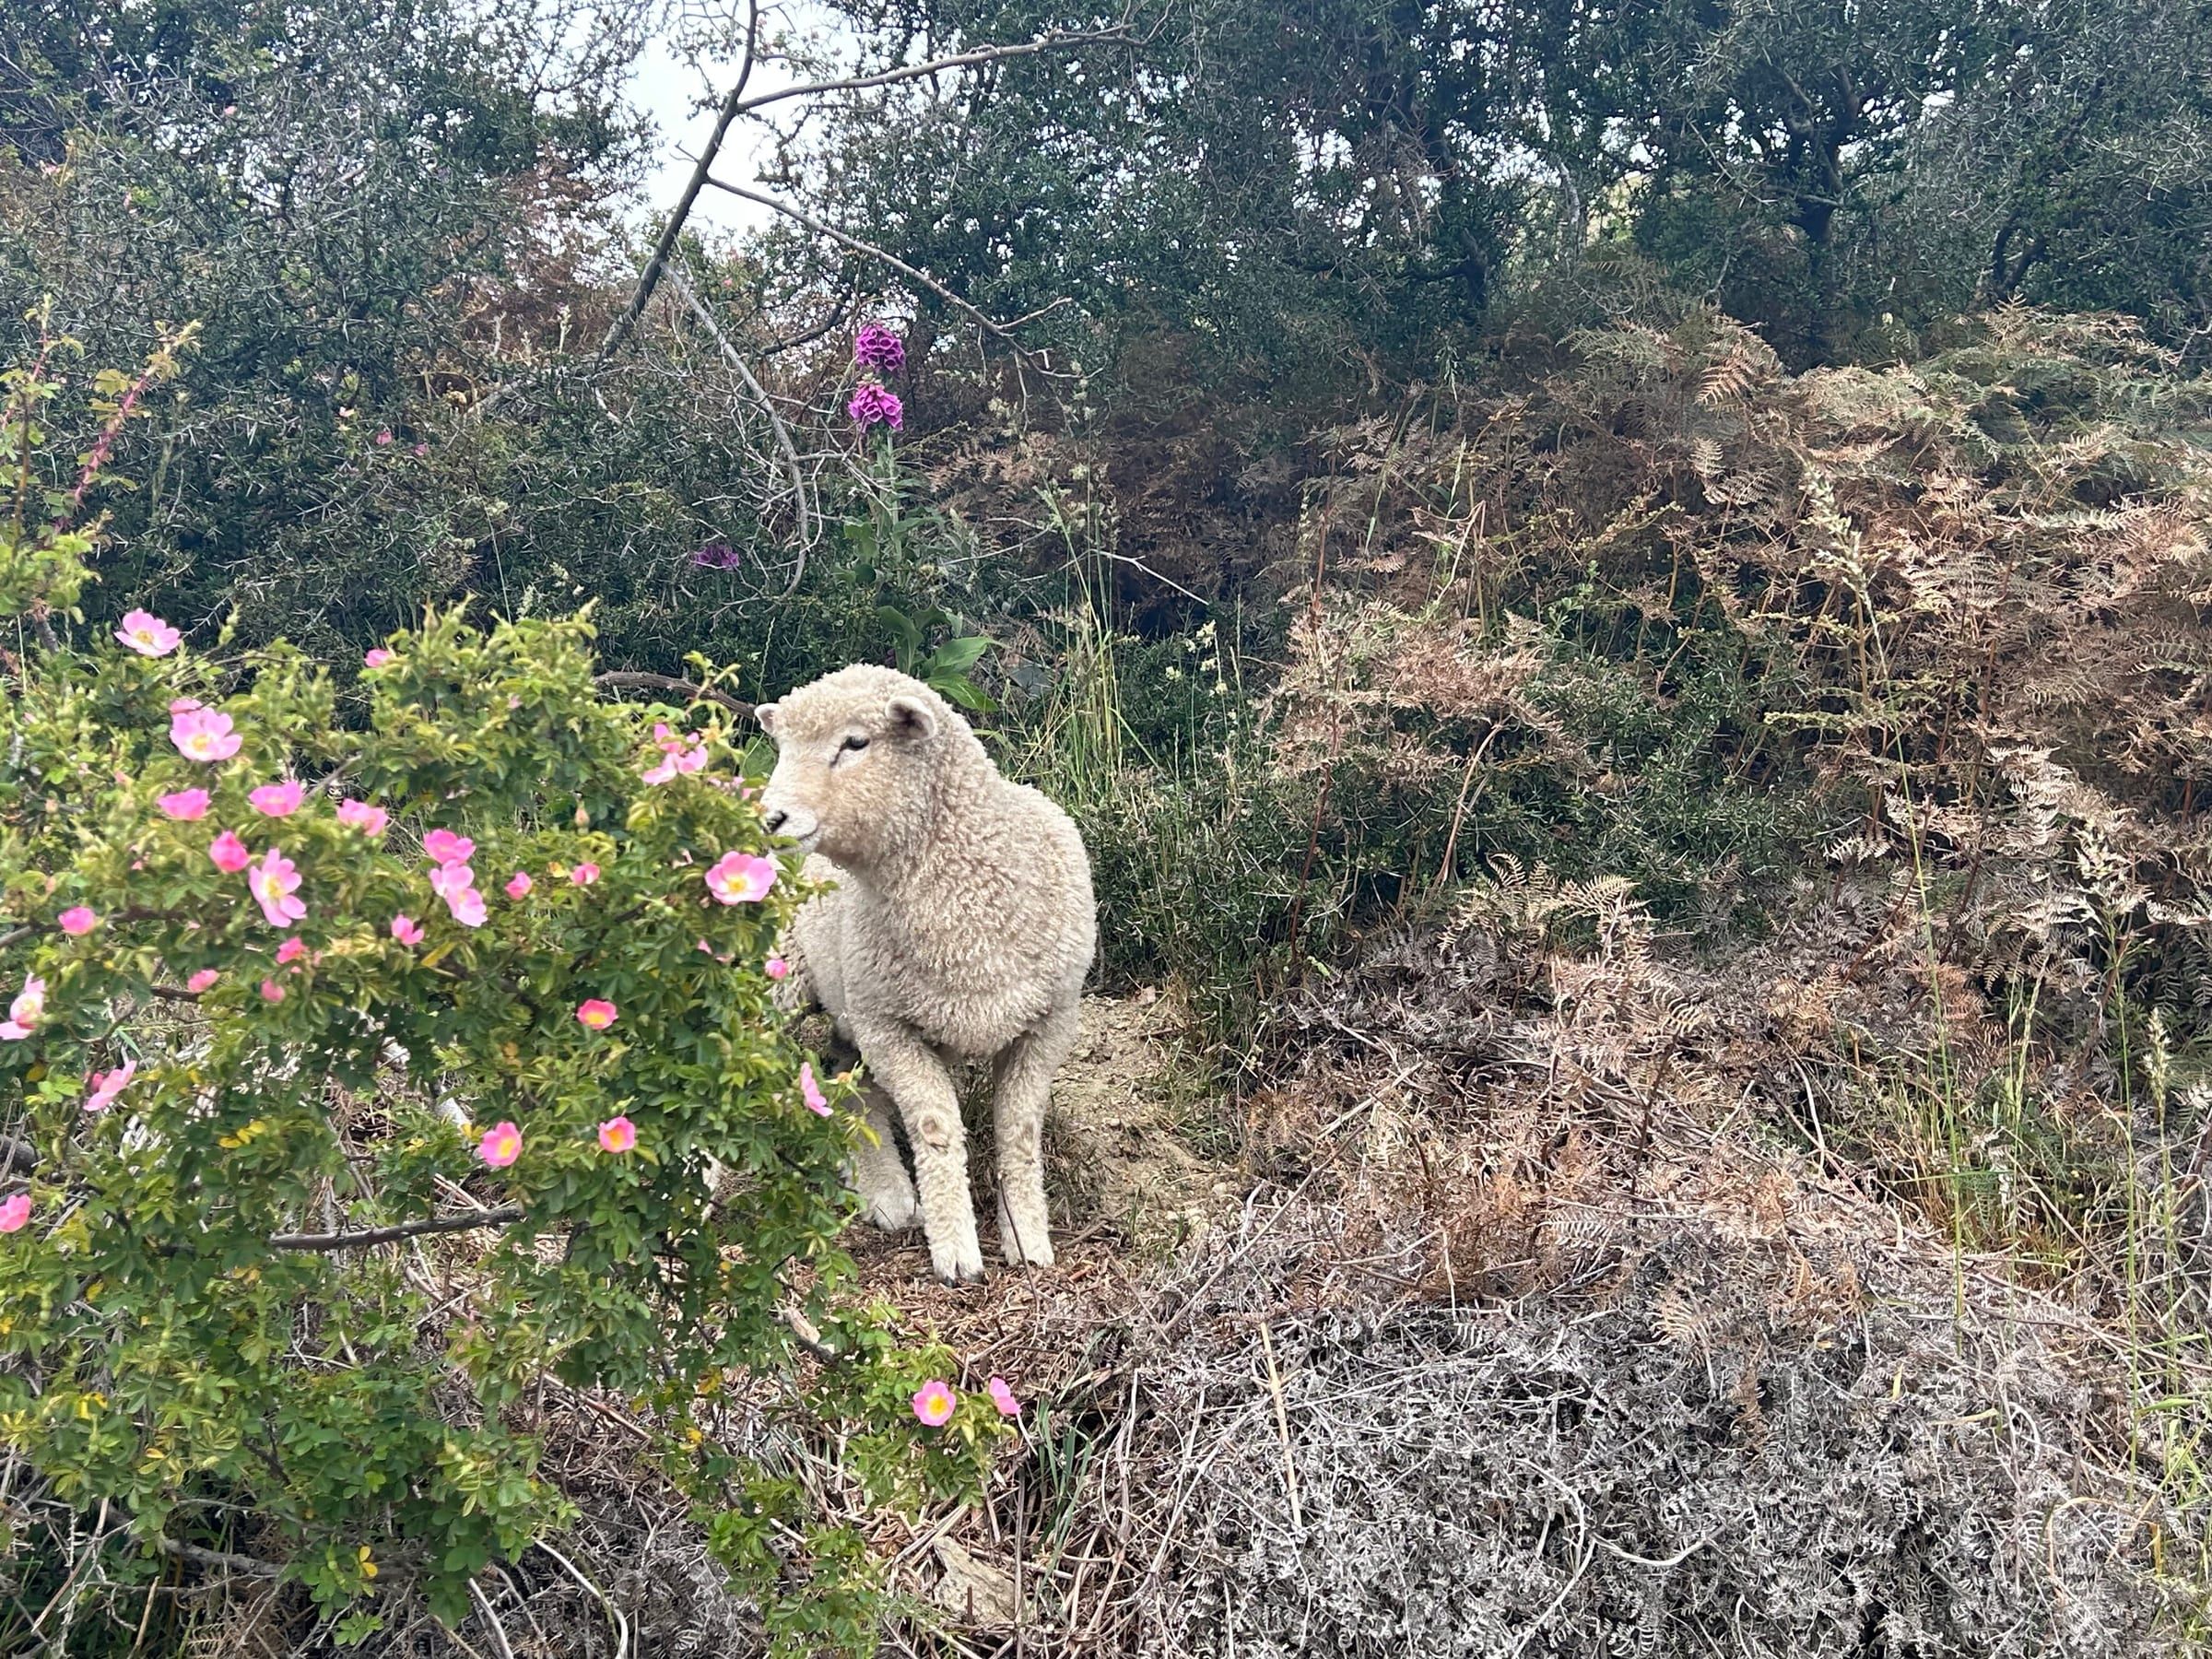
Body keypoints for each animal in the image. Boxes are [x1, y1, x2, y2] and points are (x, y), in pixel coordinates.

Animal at [754, 664, 1096, 1283]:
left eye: (855, 743)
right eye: (782, 747)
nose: (772, 819)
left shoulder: (1051, 1022)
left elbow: (1019, 1132)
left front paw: (1027, 1236)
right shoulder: (889, 1027)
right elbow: (936, 1128)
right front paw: (957, 1249)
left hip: (851, 1006)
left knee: (851, 1087)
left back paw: (882, 1189)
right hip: (797, 982)